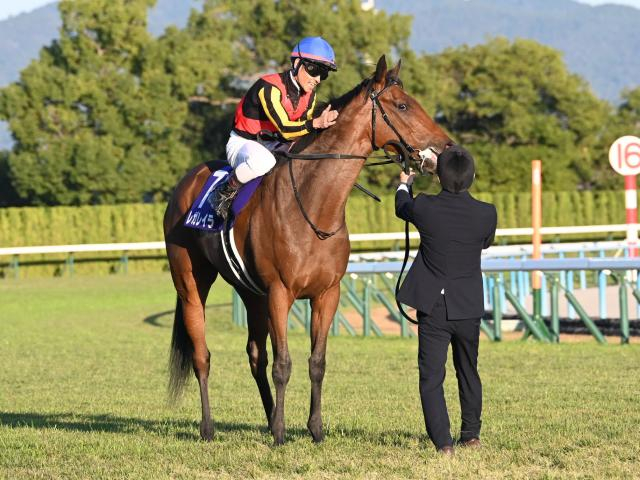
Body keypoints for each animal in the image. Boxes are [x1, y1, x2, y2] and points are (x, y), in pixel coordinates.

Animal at [163, 55, 453, 445]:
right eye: (403, 105)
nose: (446, 149)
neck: (315, 205)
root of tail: (185, 183)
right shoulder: (280, 293)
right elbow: (284, 364)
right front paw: (281, 433)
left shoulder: (326, 294)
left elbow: (317, 362)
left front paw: (314, 429)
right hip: (192, 283)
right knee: (202, 355)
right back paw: (209, 427)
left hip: (251, 293)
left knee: (255, 356)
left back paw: (269, 416)